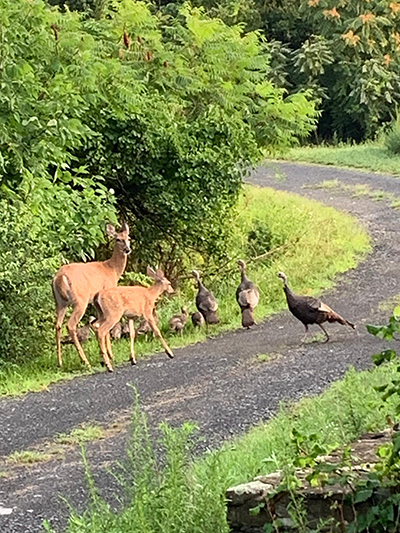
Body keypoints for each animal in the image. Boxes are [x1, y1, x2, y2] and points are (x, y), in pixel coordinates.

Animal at [51, 222, 131, 368]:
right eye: (118, 239)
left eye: (128, 238)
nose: (127, 249)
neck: (112, 269)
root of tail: (60, 277)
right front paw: (110, 355)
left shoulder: (95, 301)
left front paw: (105, 355)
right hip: (80, 300)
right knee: (70, 325)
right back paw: (85, 361)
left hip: (59, 302)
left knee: (58, 325)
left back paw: (60, 363)